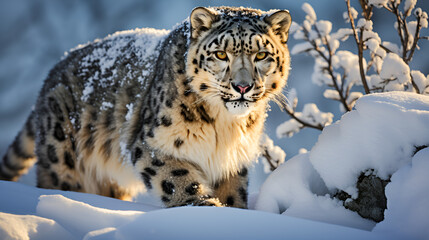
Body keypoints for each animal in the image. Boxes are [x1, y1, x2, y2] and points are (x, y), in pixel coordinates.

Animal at [0, 6, 290, 207]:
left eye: (261, 54)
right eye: (220, 54)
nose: (242, 87)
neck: (226, 127)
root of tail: (49, 78)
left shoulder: (232, 160)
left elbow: (234, 194)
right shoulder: (151, 144)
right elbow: (178, 180)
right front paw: (204, 205)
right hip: (62, 161)